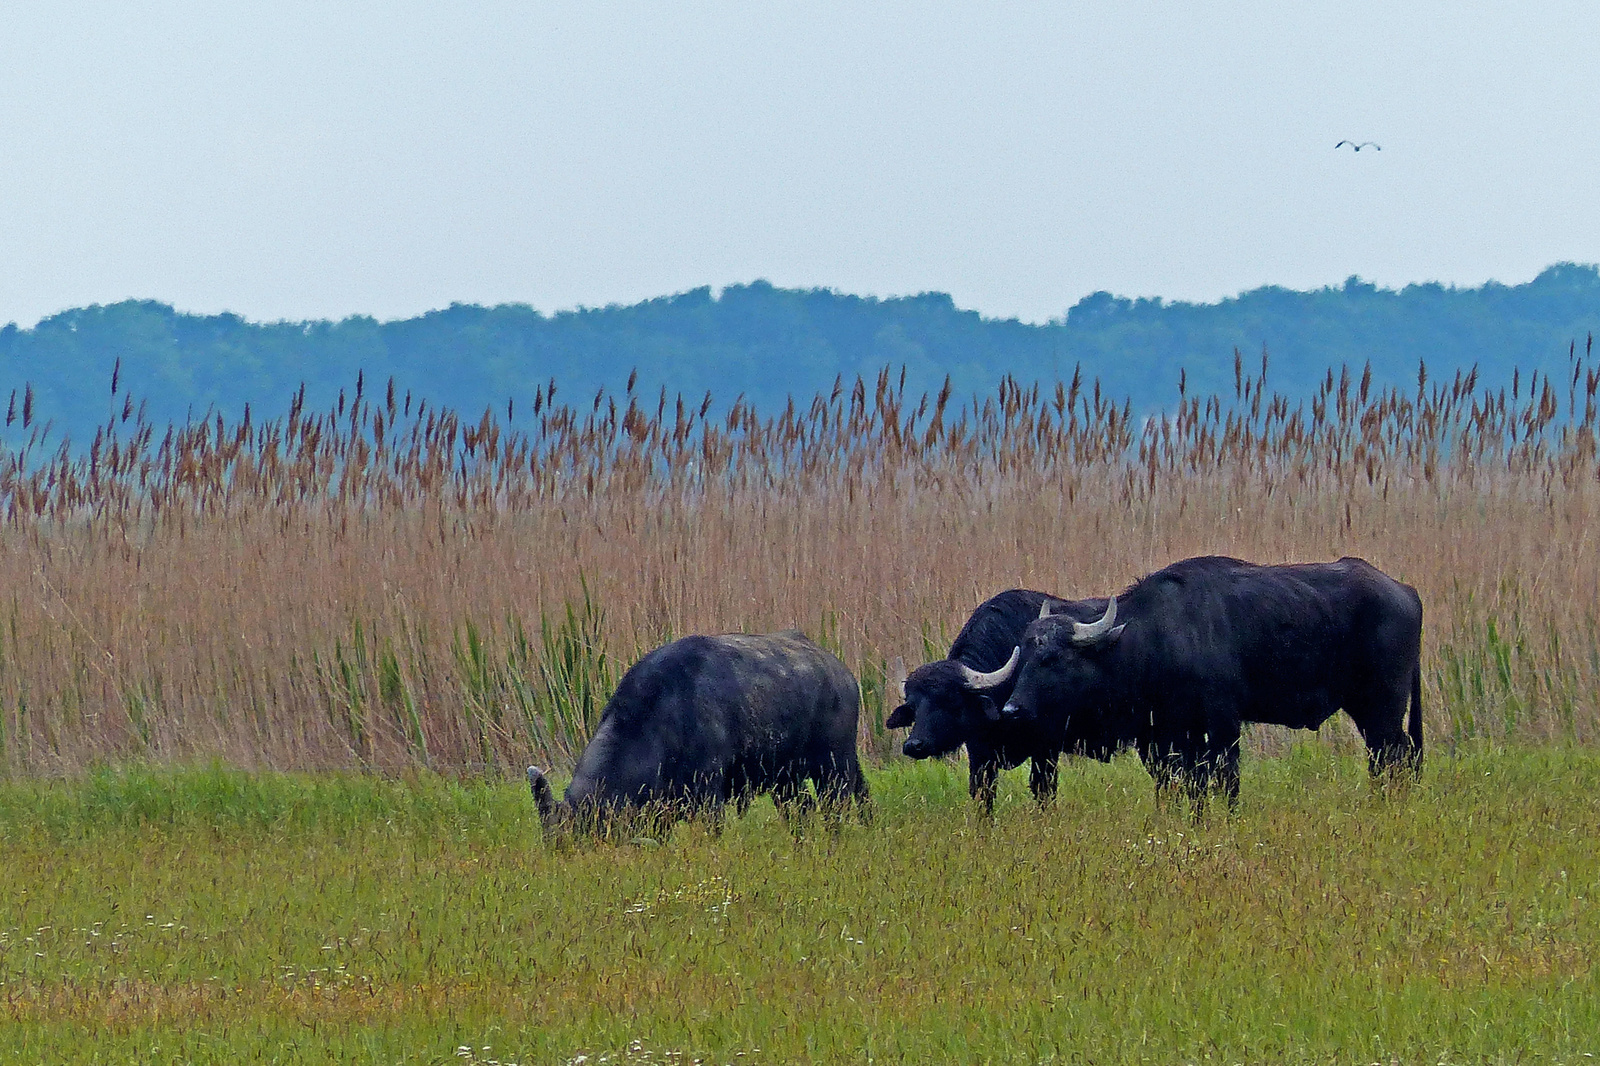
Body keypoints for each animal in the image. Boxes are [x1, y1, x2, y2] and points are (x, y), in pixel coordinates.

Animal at [531, 627, 870, 832]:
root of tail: (840, 671)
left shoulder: (709, 796)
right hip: (785, 780)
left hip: (834, 767)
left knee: (837, 806)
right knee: (803, 809)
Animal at [883, 589, 1120, 813]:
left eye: (949, 700)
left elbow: (1043, 789)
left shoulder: (1046, 747)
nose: (914, 745)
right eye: (913, 706)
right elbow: (983, 795)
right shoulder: (980, 753)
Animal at [998, 557, 1427, 806]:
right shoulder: (1165, 736)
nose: (1012, 709)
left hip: (1385, 706)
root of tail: (1406, 591)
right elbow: (1183, 785)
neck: (1157, 638)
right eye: (1024, 659)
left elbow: (1224, 779)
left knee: (1395, 757)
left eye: (1053, 659)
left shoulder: (1222, 724)